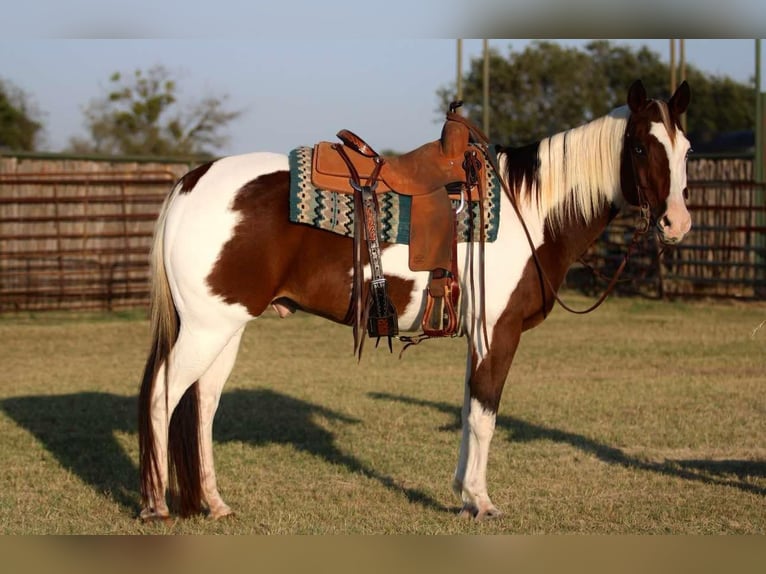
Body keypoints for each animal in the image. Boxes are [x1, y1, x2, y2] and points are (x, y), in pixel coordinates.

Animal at [138, 79, 692, 522]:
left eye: (686, 150)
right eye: (639, 148)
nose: (677, 223)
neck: (528, 209)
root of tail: (190, 182)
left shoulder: (477, 338)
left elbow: (470, 411)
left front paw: (464, 495)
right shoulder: (499, 332)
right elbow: (486, 414)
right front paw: (482, 502)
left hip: (226, 329)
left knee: (202, 406)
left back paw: (214, 504)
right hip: (207, 328)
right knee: (163, 397)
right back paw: (157, 506)